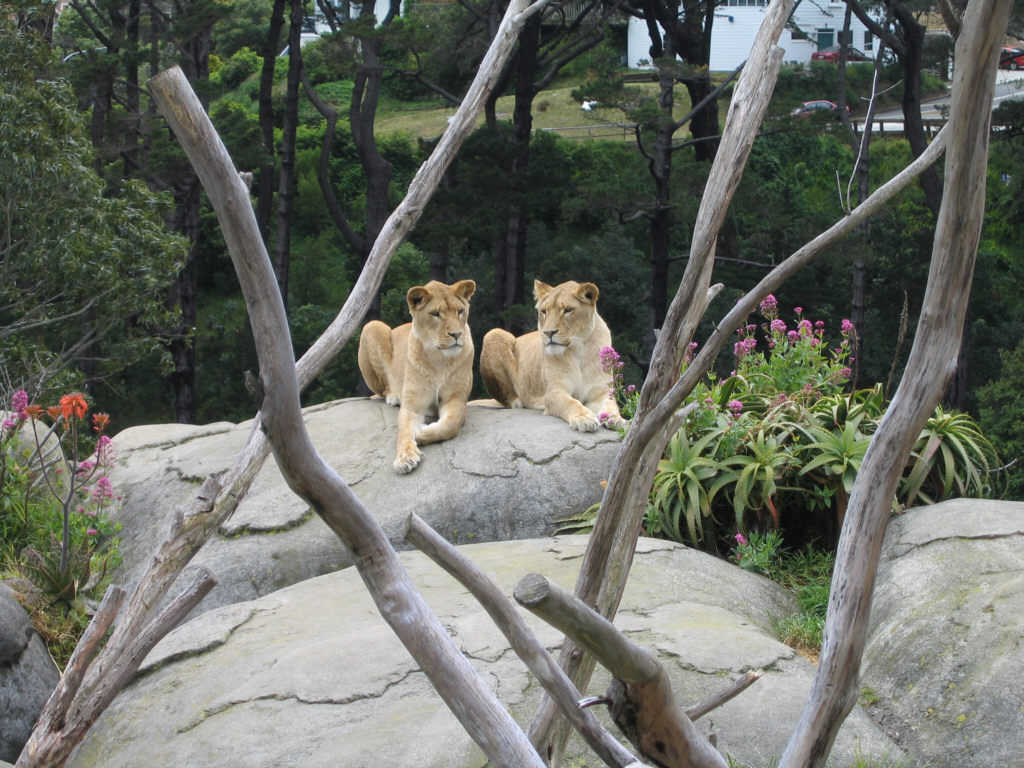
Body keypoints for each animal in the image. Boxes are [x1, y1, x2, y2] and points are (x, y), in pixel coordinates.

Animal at [357, 279, 476, 474]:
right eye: (435, 314)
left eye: (460, 311)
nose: (457, 334)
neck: (438, 358)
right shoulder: (412, 405)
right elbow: (404, 431)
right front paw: (405, 457)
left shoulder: (456, 398)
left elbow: (450, 424)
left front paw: (420, 432)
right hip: (372, 326)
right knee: (383, 390)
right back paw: (393, 396)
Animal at [480, 279, 626, 432]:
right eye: (544, 311)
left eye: (568, 310)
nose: (548, 332)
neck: (579, 351)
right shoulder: (554, 391)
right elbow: (571, 403)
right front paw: (584, 418)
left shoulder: (601, 392)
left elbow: (611, 404)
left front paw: (615, 418)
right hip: (495, 334)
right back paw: (517, 401)